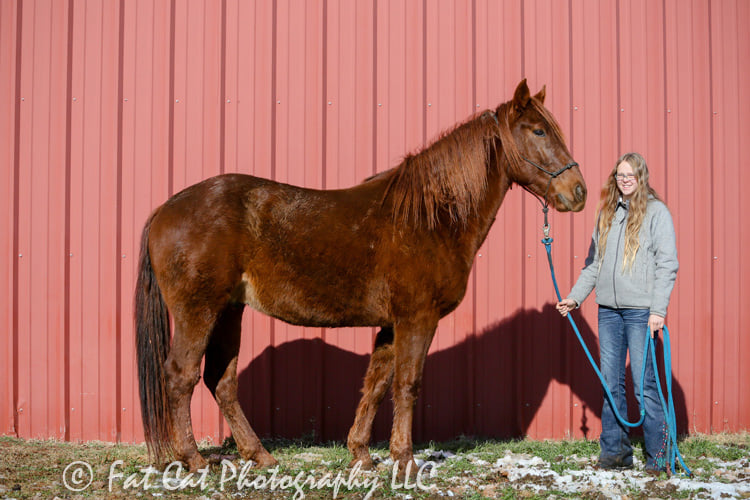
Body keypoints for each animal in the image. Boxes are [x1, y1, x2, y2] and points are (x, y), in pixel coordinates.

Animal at [138, 79, 592, 472]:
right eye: (538, 131)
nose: (579, 192)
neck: (430, 217)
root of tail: (166, 209)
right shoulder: (416, 319)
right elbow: (407, 384)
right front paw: (405, 461)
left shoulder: (391, 325)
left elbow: (375, 384)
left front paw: (362, 454)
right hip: (199, 312)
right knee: (180, 376)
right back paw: (194, 460)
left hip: (230, 311)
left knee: (222, 381)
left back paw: (259, 455)